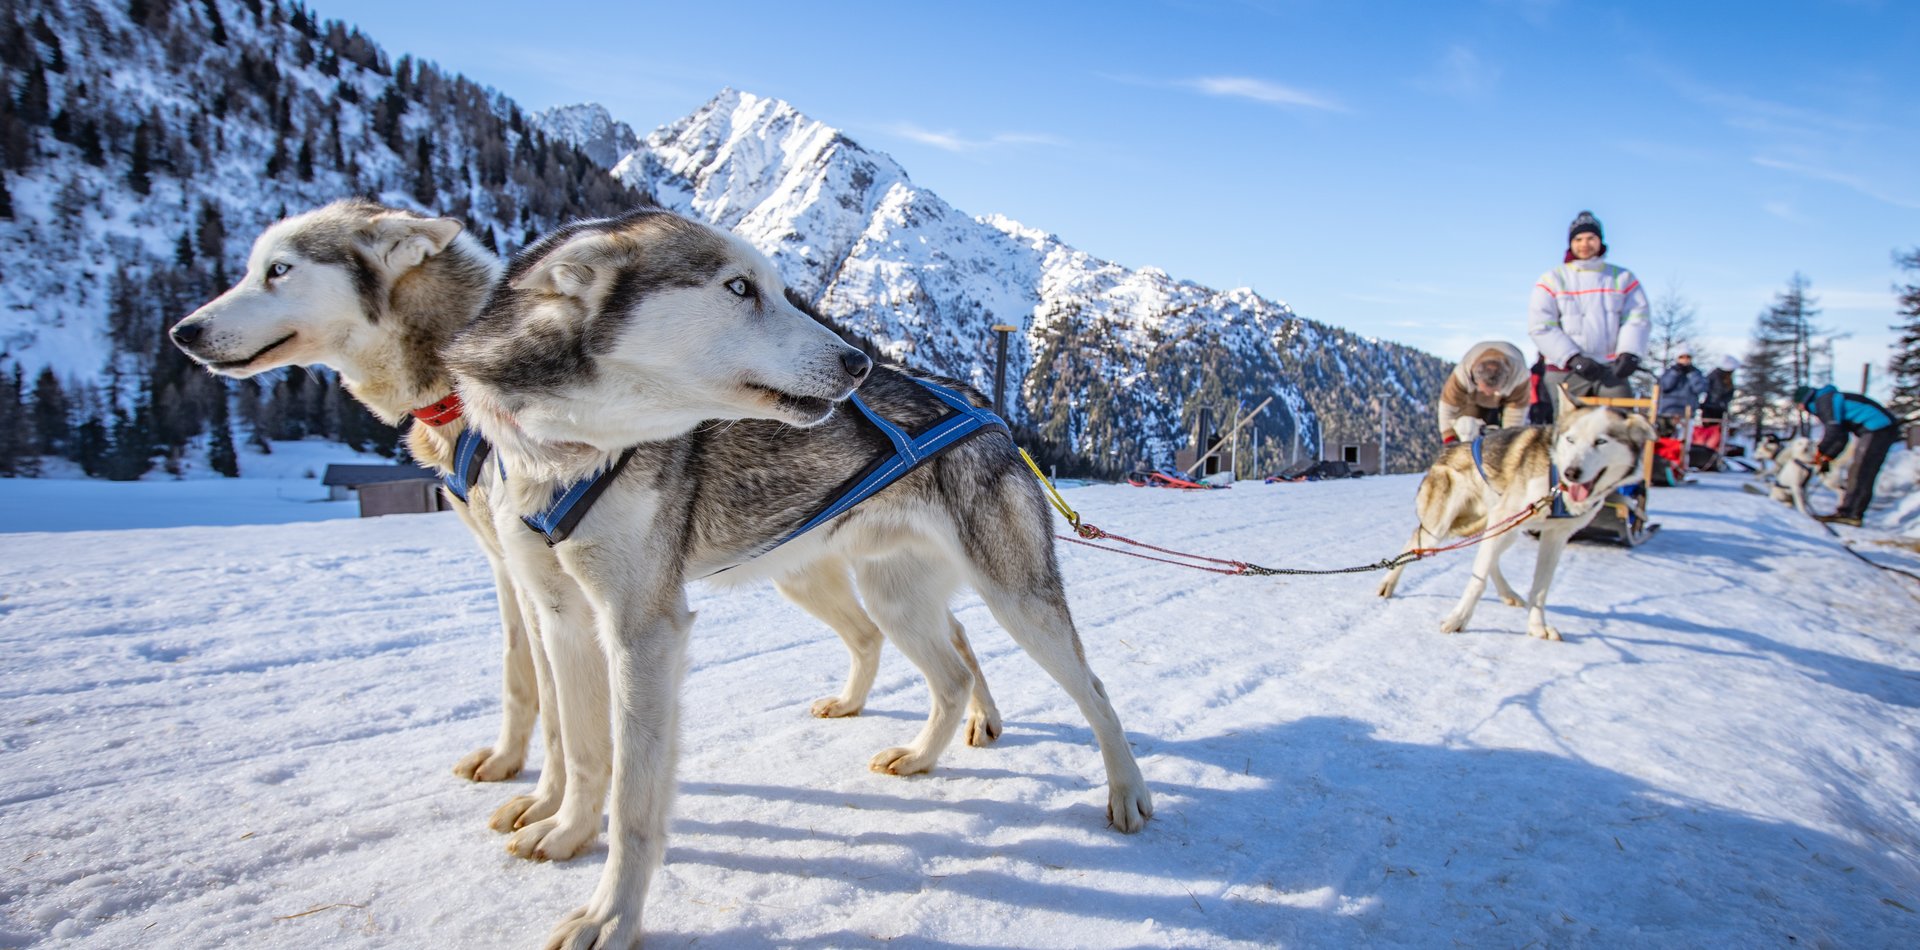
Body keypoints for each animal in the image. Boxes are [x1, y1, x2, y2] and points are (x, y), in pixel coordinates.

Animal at [168, 202, 1006, 871]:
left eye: (277, 269)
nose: (183, 331)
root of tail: (960, 389)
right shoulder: (524, 577)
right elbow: (545, 695)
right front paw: (534, 790)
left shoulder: (556, 587)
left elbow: (545, 702)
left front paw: (547, 806)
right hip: (814, 569)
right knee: (923, 636)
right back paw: (936, 714)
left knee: (944, 638)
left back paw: (969, 720)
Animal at [441, 208, 1144, 950]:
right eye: (739, 287)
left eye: (777, 289)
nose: (858, 364)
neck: (572, 454)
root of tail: (981, 405)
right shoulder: (563, 619)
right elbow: (581, 751)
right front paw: (568, 833)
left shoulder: (643, 633)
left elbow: (633, 798)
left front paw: (611, 916)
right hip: (892, 599)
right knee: (951, 675)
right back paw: (921, 757)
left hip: (1017, 598)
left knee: (1093, 690)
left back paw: (1127, 791)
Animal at [1374, 385, 1658, 641]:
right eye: (1570, 439)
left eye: (1601, 441)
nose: (1571, 473)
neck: (1555, 481)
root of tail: (1454, 448)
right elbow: (1477, 580)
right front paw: (1458, 619)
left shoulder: (1555, 537)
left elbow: (1541, 587)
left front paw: (1536, 626)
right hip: (1446, 526)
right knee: (1417, 542)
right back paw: (1388, 583)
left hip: (1508, 526)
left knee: (1490, 558)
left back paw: (1508, 594)